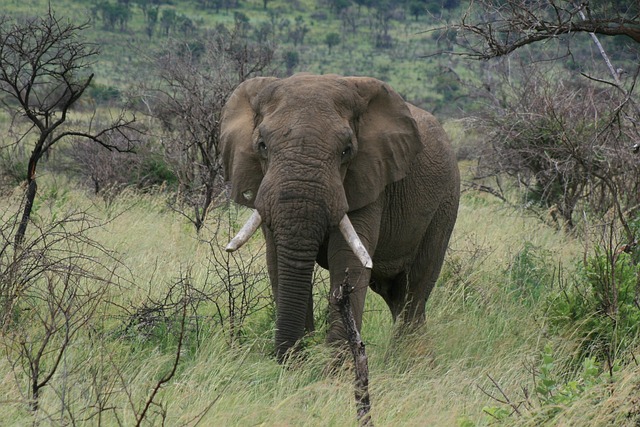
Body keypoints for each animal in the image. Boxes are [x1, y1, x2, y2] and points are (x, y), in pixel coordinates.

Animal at [220, 73, 460, 362]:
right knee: (394, 293)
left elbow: (347, 259)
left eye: (346, 150)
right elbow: (277, 258)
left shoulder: (370, 179)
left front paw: (334, 368)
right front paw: (299, 364)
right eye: (262, 146)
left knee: (415, 289)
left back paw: (411, 362)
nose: (286, 357)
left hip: (445, 203)